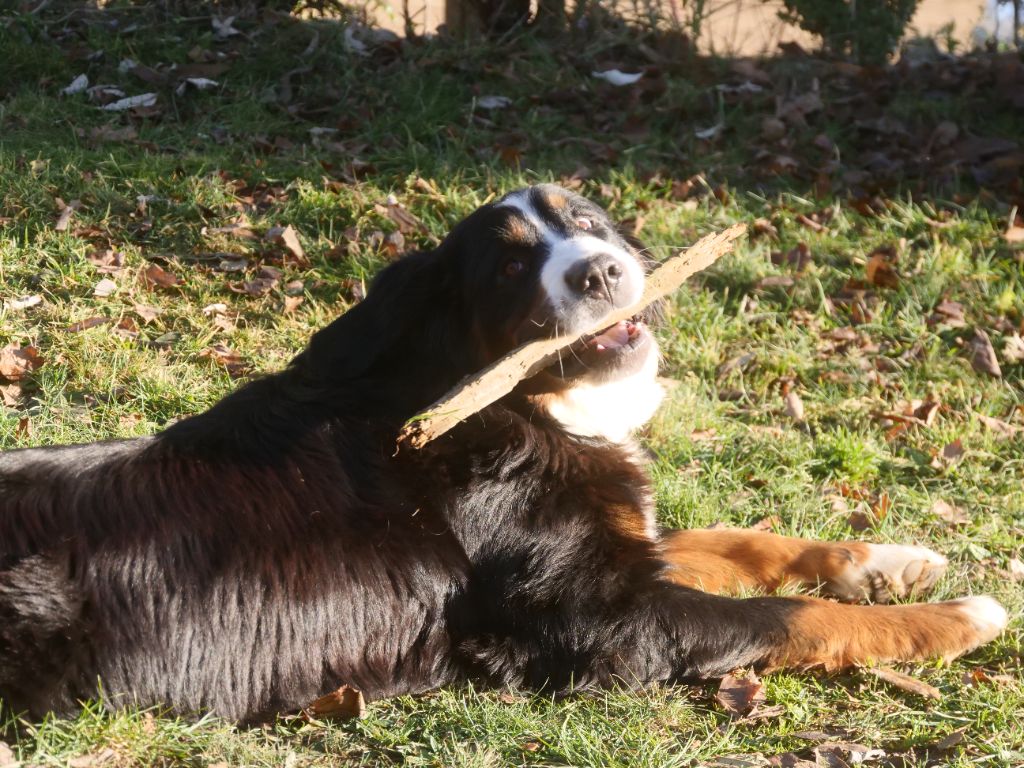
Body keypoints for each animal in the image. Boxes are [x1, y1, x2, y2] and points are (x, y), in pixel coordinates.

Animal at [0, 185, 1007, 720]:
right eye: (513, 266)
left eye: (588, 222)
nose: (600, 272)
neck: (520, 405)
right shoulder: (604, 620)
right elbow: (790, 617)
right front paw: (952, 620)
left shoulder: (609, 550)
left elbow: (737, 541)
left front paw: (887, 561)